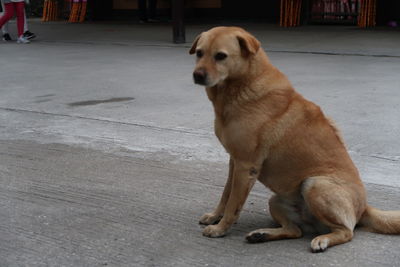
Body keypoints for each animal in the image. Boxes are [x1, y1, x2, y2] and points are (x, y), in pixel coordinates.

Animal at [190, 26, 400, 252]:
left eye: (221, 56)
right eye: (199, 53)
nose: (197, 75)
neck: (240, 87)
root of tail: (363, 208)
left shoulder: (246, 166)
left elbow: (233, 204)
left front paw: (220, 229)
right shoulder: (235, 162)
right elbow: (226, 195)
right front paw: (215, 217)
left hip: (314, 184)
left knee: (346, 232)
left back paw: (322, 240)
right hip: (276, 200)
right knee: (295, 231)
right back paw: (261, 235)